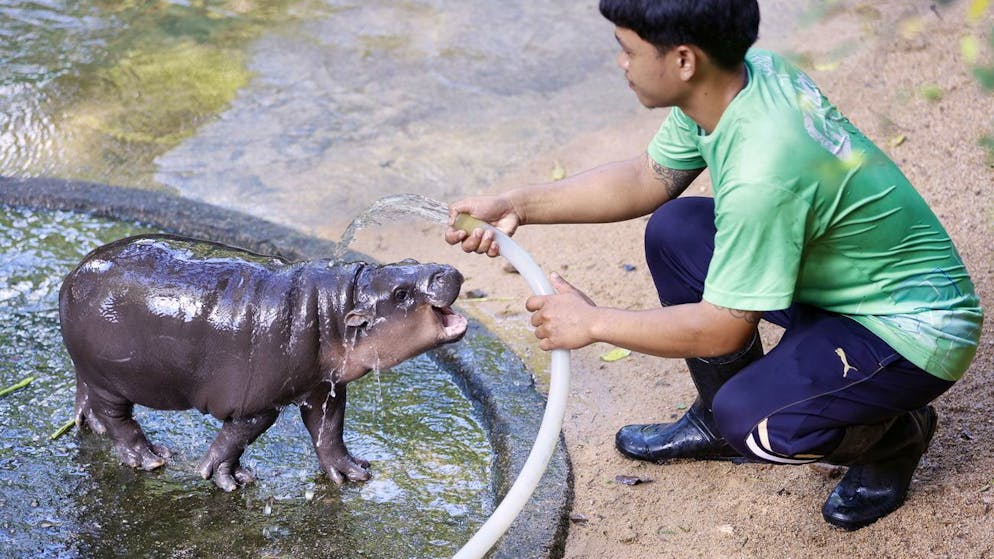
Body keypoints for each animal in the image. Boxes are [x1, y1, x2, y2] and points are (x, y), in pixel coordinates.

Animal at [58, 234, 467, 491]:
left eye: (410, 261)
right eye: (400, 294)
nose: (450, 270)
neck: (336, 307)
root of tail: (72, 275)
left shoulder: (324, 388)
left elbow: (328, 430)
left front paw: (352, 473)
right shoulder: (256, 405)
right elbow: (236, 439)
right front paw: (228, 480)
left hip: (89, 369)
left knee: (87, 395)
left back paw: (91, 425)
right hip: (110, 379)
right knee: (119, 419)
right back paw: (152, 459)